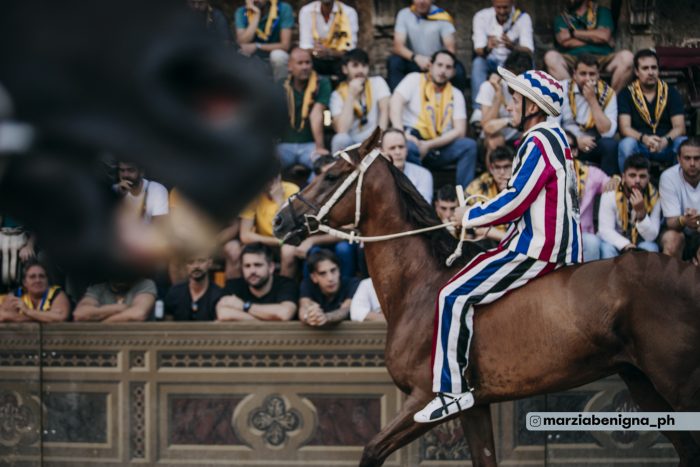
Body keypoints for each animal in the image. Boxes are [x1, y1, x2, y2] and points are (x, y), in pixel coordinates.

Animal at [274, 129, 700, 467]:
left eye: (331, 175)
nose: (281, 219)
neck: (420, 286)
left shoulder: (426, 400)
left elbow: (371, 451)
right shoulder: (474, 408)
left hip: (679, 387)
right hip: (644, 384)